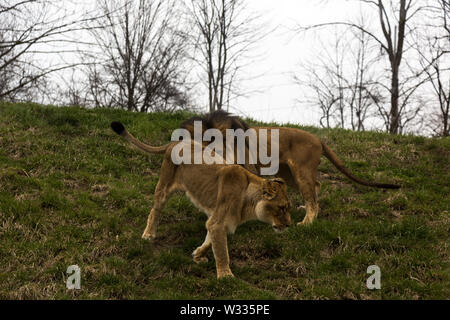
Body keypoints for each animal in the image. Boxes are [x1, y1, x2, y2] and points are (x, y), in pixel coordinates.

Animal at [110, 121, 290, 278]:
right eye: (282, 208)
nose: (289, 225)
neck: (248, 203)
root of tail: (175, 142)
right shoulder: (217, 222)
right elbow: (222, 251)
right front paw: (226, 276)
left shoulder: (217, 220)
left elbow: (210, 242)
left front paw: (197, 255)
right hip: (164, 186)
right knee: (155, 210)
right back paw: (148, 234)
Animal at [181, 111, 400, 226]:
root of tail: (318, 139)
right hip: (289, 172)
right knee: (316, 187)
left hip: (301, 171)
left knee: (312, 198)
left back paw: (306, 223)